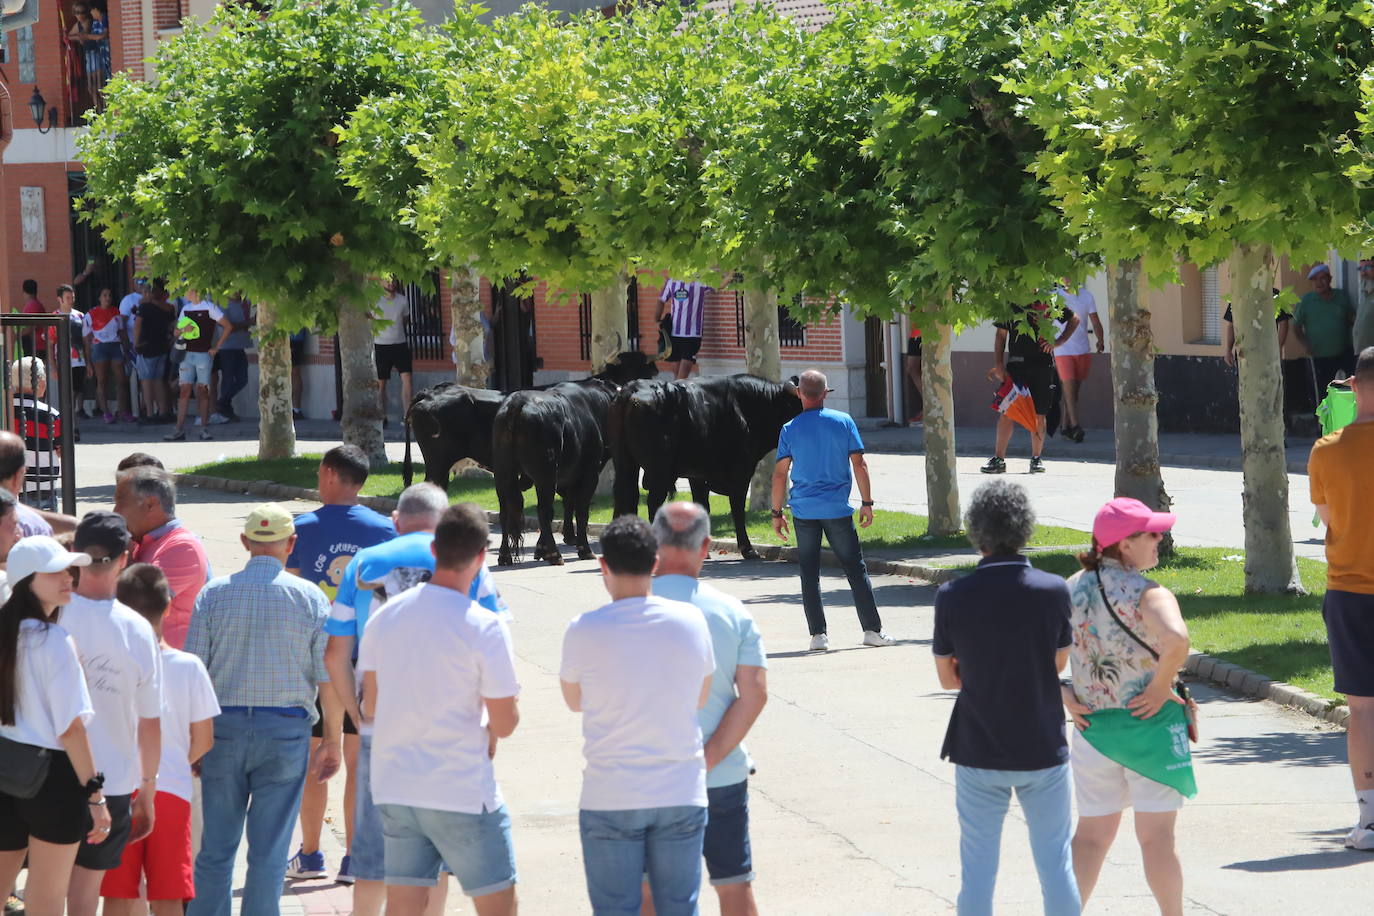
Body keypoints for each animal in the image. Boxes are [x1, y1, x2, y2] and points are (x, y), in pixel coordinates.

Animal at [607, 373, 802, 560]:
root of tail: (633, 388)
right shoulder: (740, 471)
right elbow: (737, 509)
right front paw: (747, 549)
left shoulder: (698, 475)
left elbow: (702, 507)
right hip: (658, 469)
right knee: (653, 501)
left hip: (624, 461)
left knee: (624, 494)